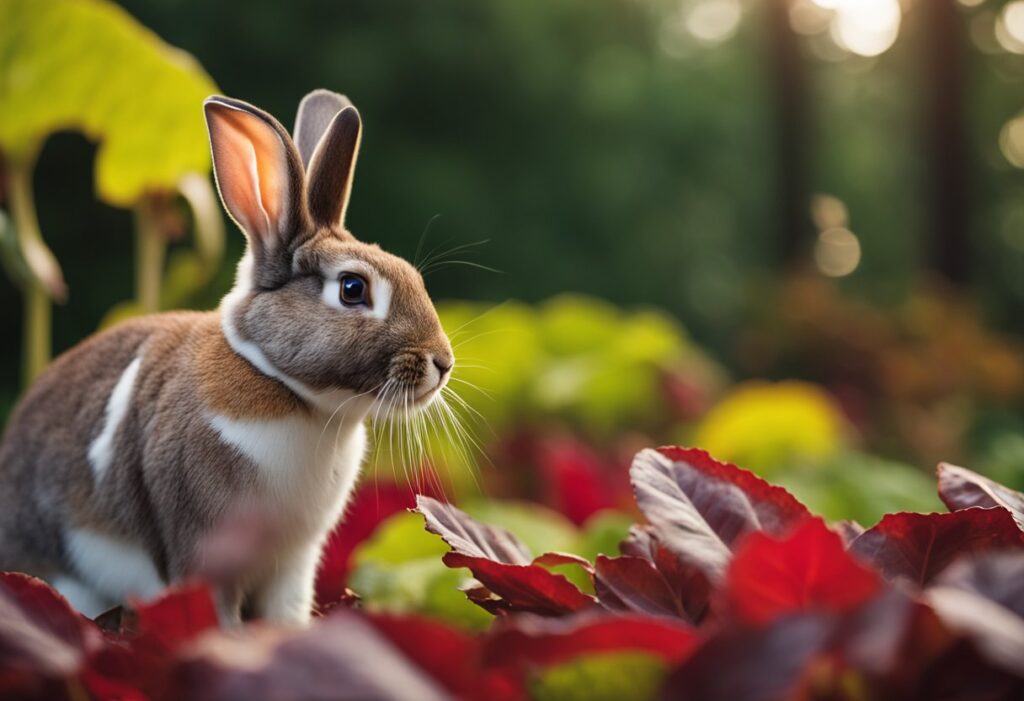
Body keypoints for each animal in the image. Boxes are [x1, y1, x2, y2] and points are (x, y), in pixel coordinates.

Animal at [0, 89, 452, 622]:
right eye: (352, 288)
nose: (443, 363)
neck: (291, 393)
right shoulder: (205, 549)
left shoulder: (293, 561)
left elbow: (285, 612)